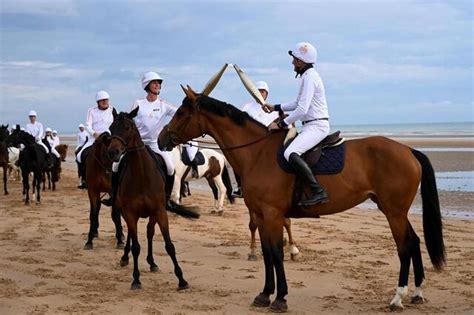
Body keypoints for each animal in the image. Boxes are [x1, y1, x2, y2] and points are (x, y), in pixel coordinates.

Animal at [108, 108, 199, 292]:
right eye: (111, 128)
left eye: (128, 127)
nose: (113, 152)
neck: (142, 175)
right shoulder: (130, 213)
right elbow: (136, 246)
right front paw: (136, 279)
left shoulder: (159, 211)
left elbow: (169, 245)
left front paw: (181, 280)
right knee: (131, 236)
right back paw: (125, 257)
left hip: (153, 214)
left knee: (149, 232)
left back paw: (152, 262)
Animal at [159, 87, 444, 314]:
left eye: (181, 113)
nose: (162, 138)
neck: (257, 153)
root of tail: (408, 150)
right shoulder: (261, 215)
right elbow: (266, 253)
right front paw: (265, 294)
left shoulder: (273, 214)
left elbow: (276, 253)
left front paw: (280, 298)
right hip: (393, 210)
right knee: (414, 241)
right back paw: (417, 293)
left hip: (394, 212)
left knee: (404, 246)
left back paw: (398, 297)